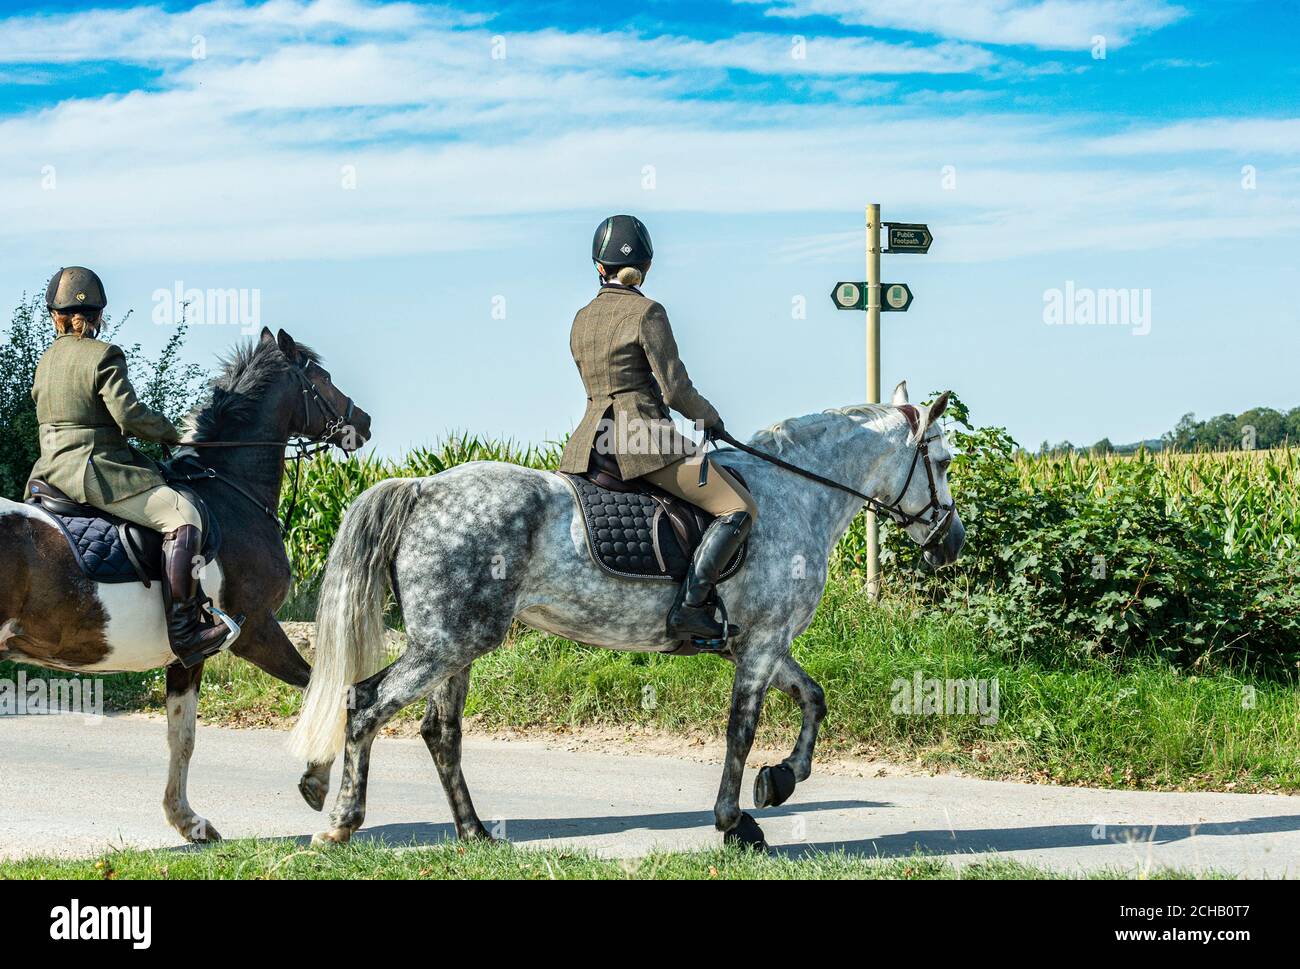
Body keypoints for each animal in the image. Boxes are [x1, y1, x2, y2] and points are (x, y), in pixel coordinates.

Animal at [0, 326, 371, 837]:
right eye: (324, 379)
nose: (364, 421)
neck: (232, 492)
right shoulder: (254, 628)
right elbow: (333, 692)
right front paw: (318, 786)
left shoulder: (188, 654)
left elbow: (183, 737)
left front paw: (188, 821)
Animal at [295, 382, 967, 848]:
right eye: (943, 462)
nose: (952, 543)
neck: (795, 493)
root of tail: (421, 487)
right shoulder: (763, 643)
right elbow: (742, 730)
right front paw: (736, 822)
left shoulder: (761, 643)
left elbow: (813, 697)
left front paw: (781, 779)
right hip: (445, 644)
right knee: (365, 706)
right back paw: (339, 823)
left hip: (455, 645)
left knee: (440, 733)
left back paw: (473, 833)